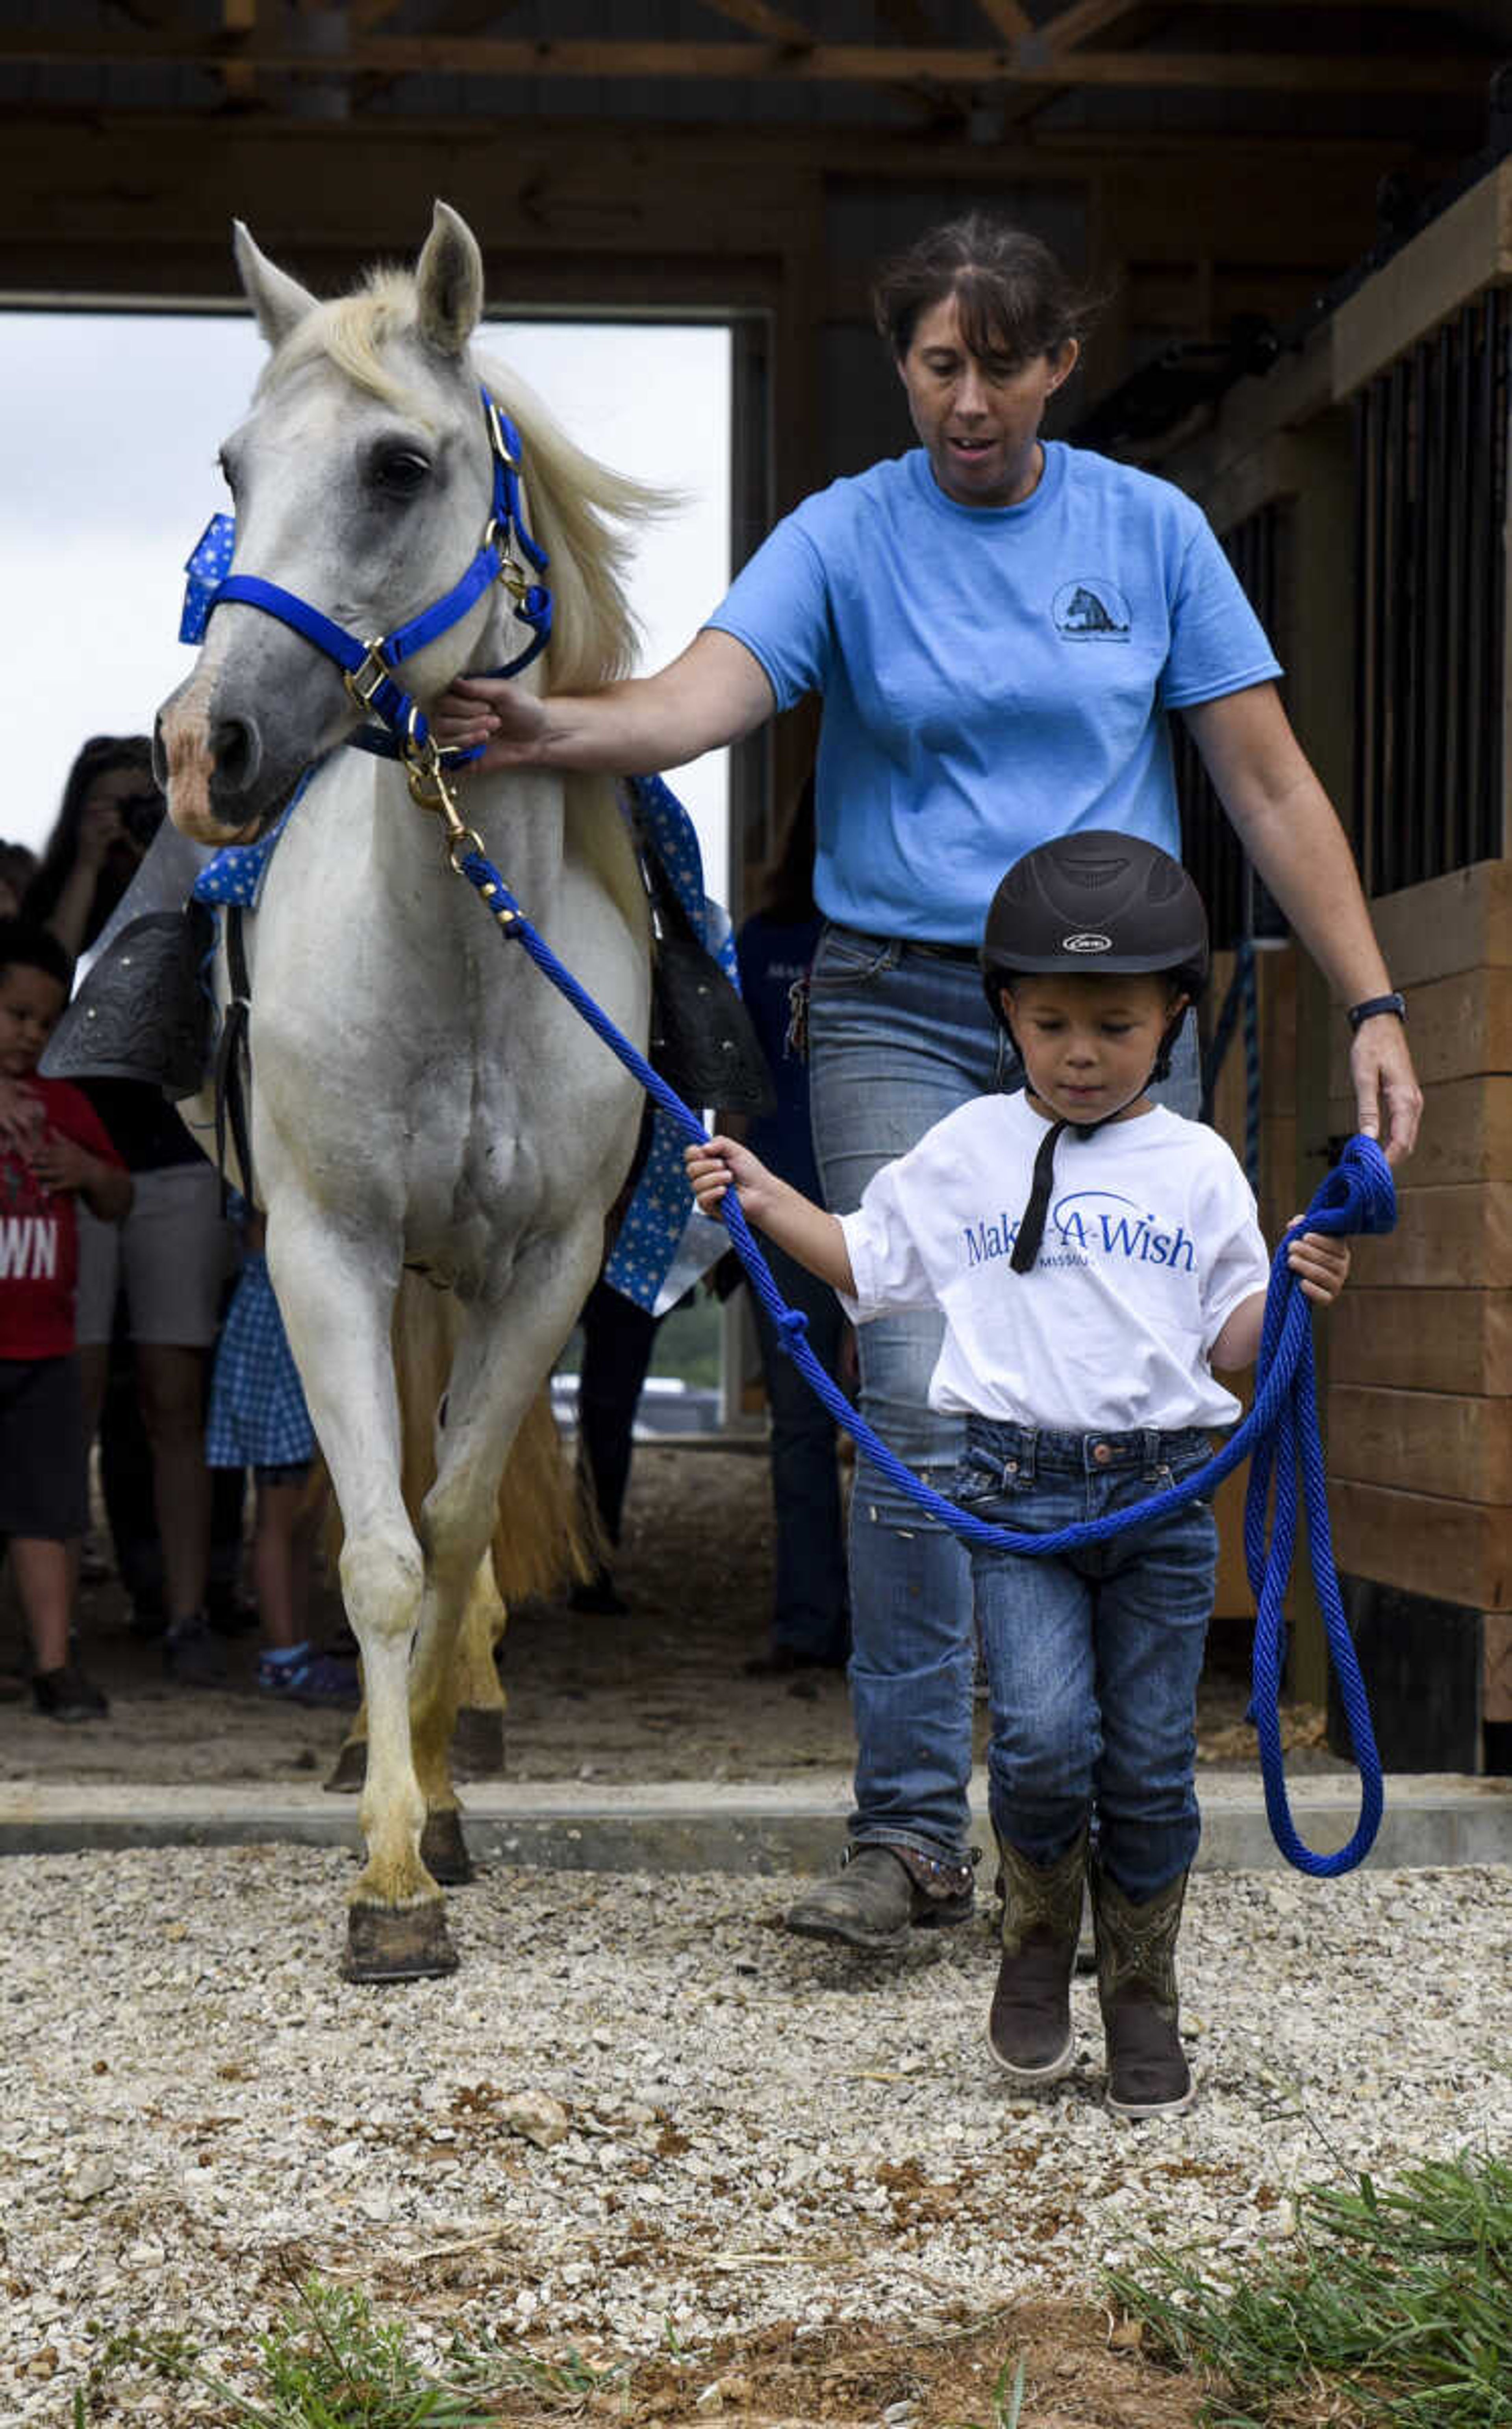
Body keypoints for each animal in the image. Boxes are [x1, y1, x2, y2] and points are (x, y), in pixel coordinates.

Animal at [158, 209, 656, 1982]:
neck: (460, 953)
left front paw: (435, 1807)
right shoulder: (328, 1252)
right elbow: (376, 1550)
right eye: (233, 464)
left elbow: (449, 1530)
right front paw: (385, 1881)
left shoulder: (551, 1270)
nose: (205, 749)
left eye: (394, 465)